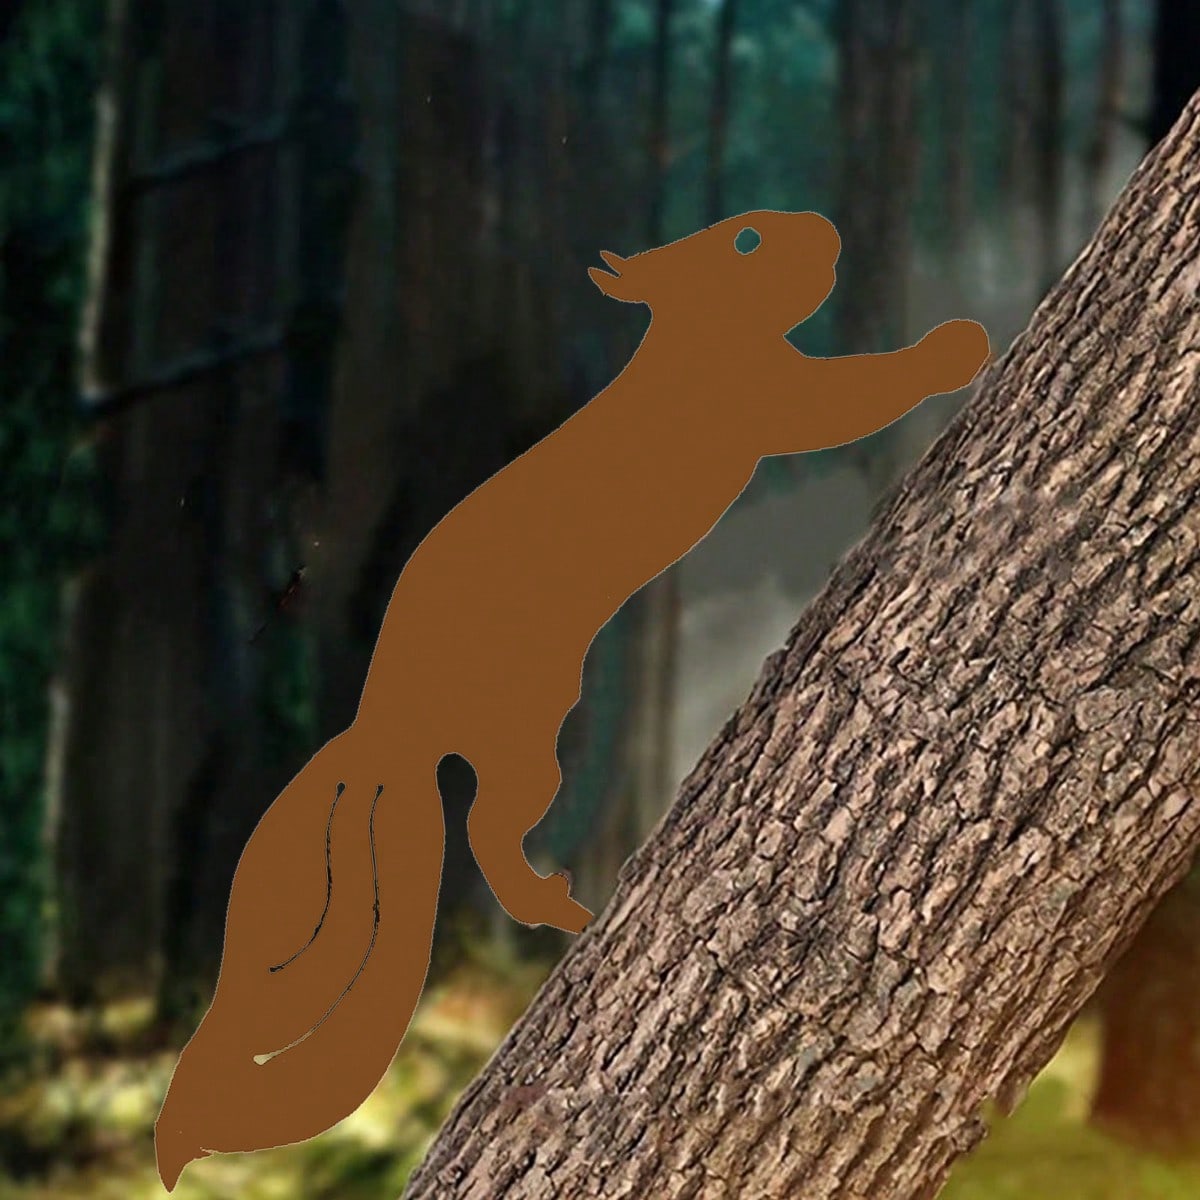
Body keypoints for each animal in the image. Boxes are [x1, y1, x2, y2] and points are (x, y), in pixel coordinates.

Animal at [155, 210, 991, 1189]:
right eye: (746, 239)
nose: (822, 230)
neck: (697, 339)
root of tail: (384, 724)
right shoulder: (774, 398)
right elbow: (859, 390)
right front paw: (956, 345)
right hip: (527, 745)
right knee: (486, 827)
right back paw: (561, 907)